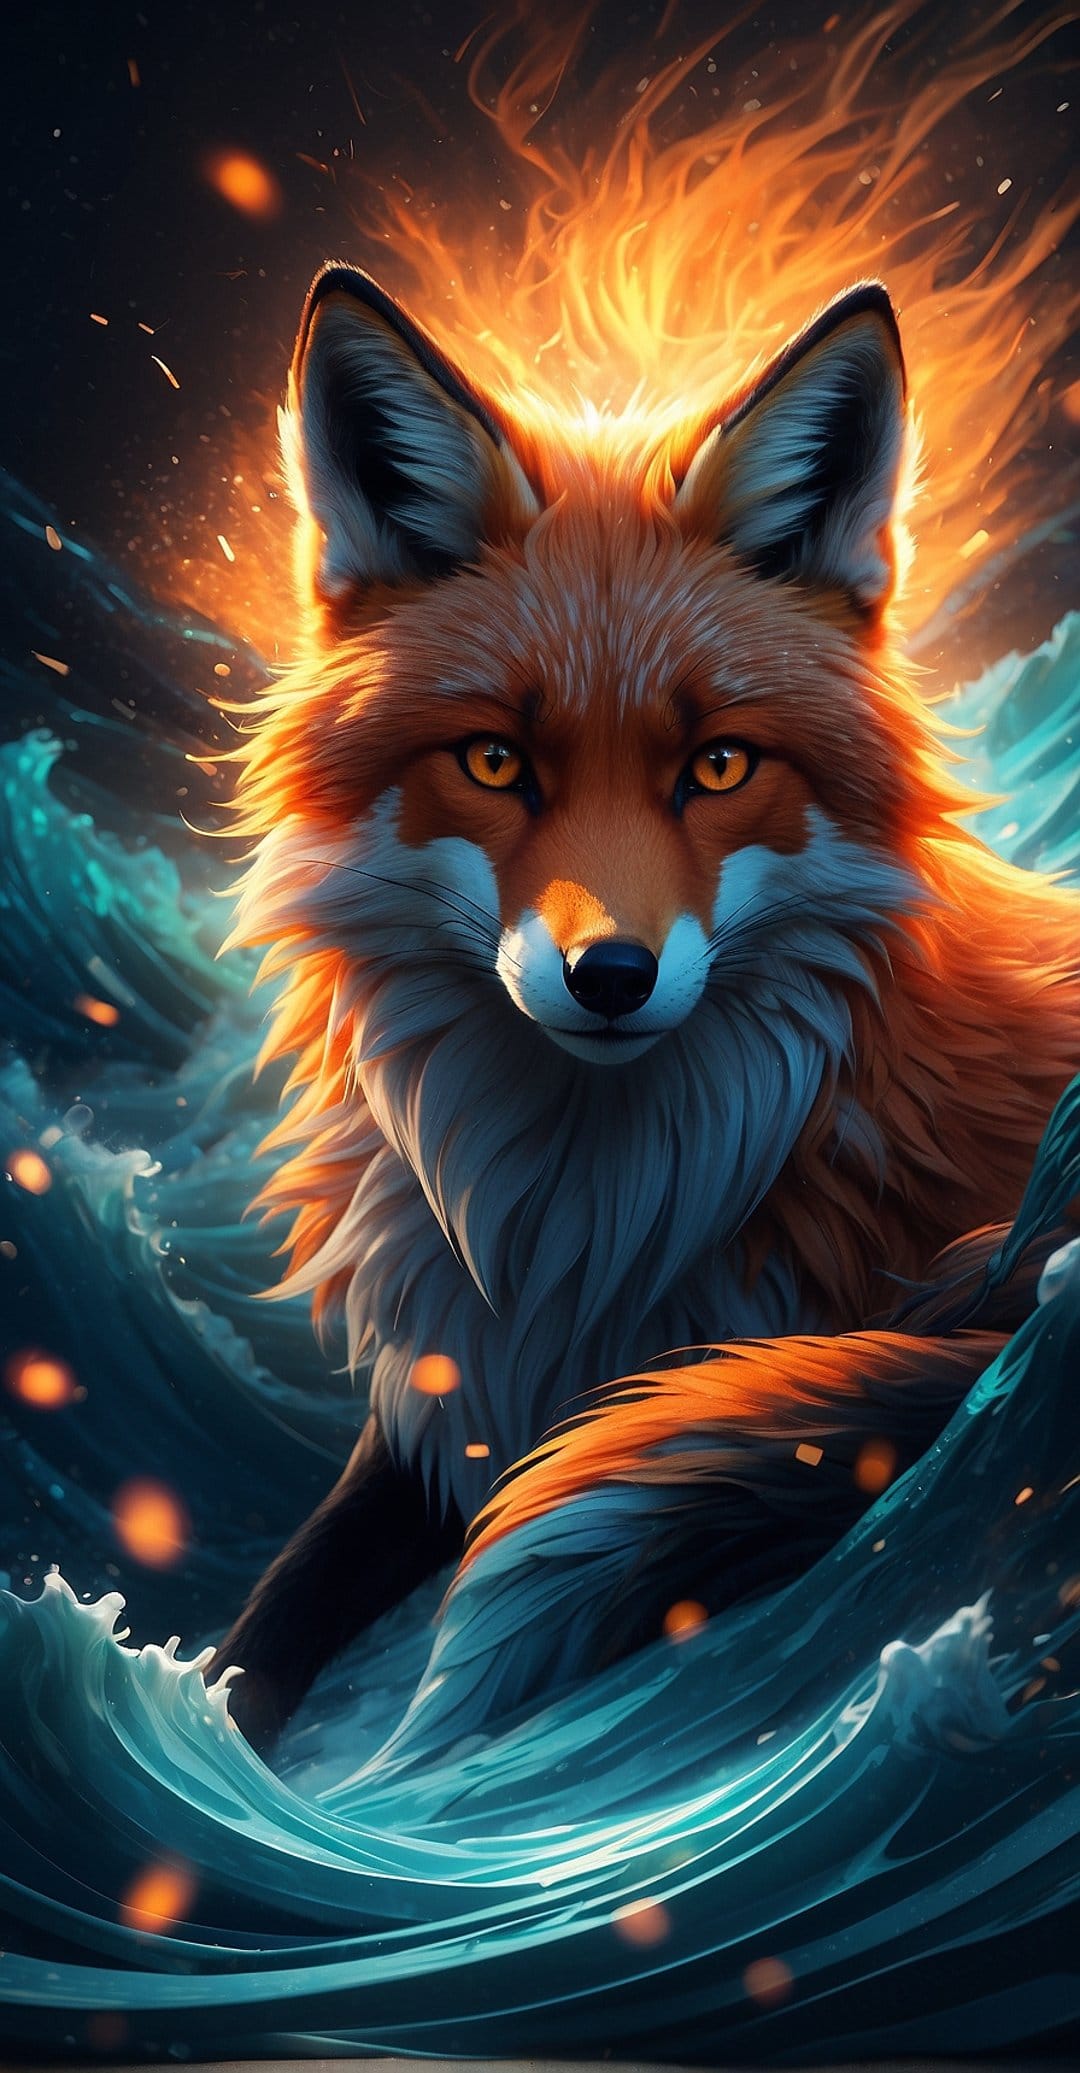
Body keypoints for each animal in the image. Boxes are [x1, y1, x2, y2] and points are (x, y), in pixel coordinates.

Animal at [207, 262, 1080, 1749]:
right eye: (496, 761)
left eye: (718, 765)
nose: (608, 976)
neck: (598, 1234)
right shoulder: (447, 1398)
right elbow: (274, 1617)